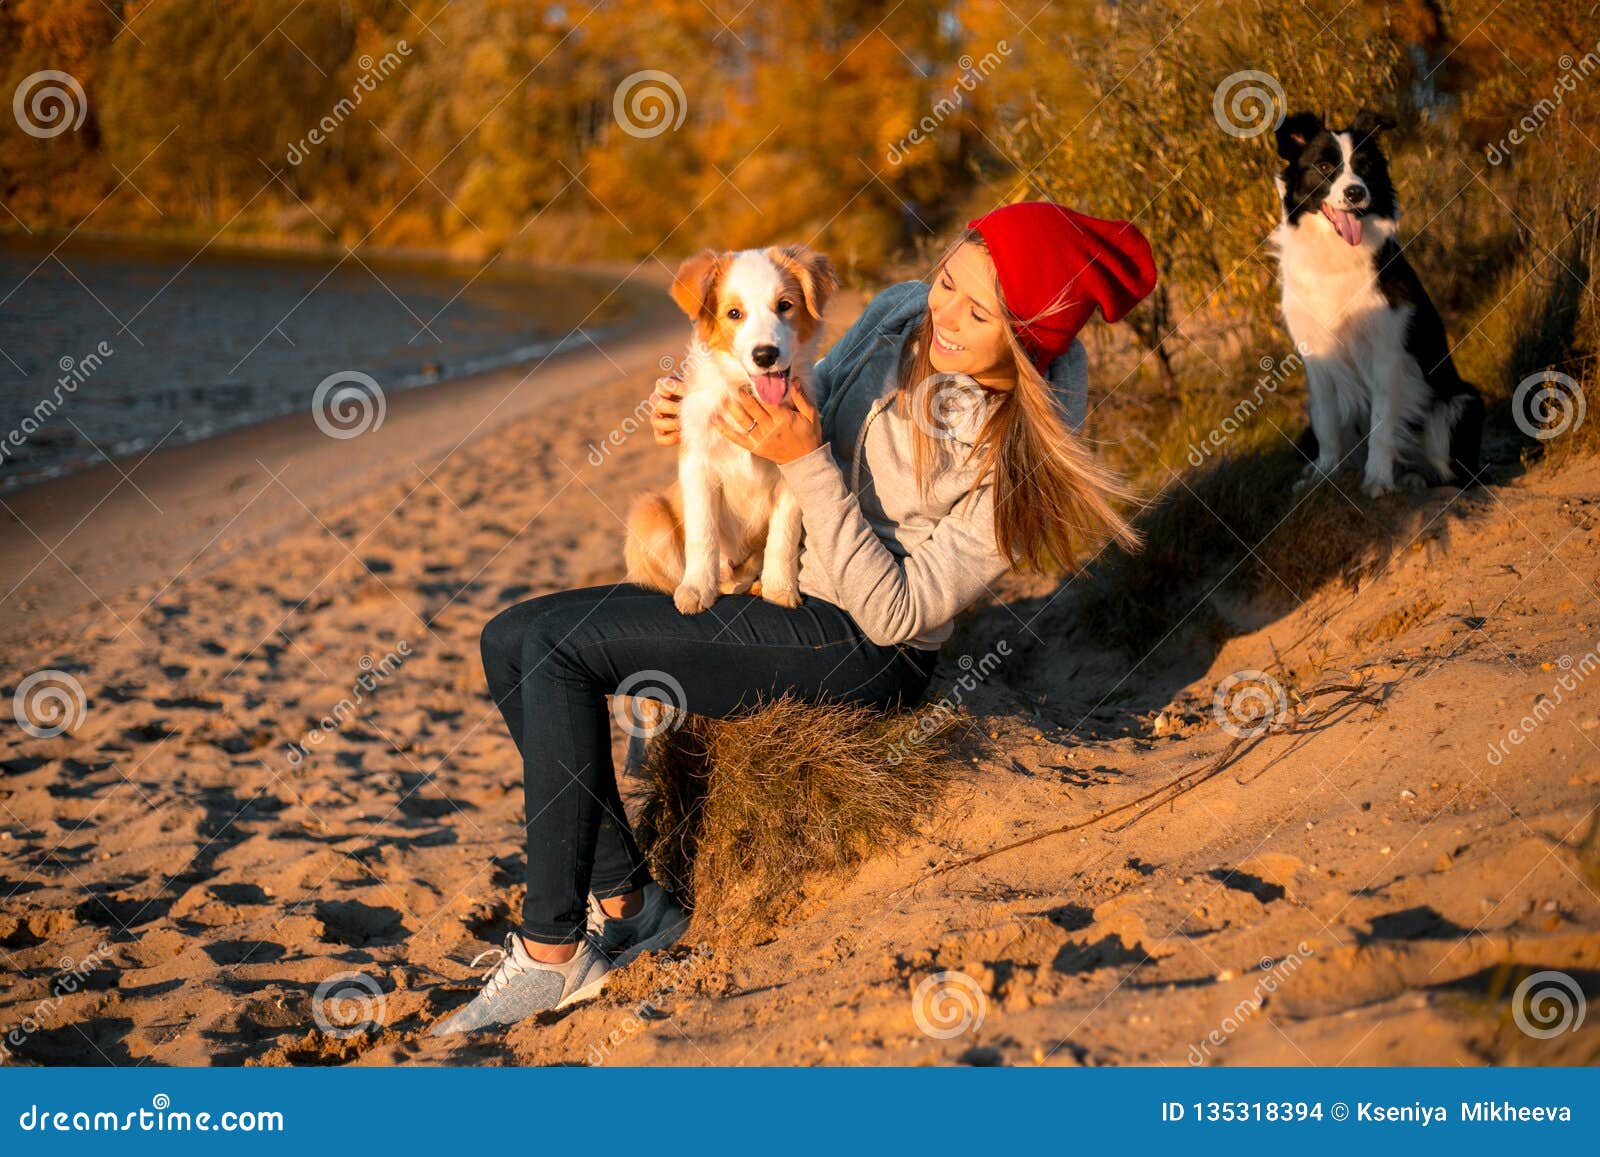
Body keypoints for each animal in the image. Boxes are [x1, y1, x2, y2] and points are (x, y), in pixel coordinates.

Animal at [620, 243, 838, 611]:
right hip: (648, 514)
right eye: (734, 313)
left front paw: (779, 589)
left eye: (784, 305)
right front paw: (696, 589)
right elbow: (702, 535)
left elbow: (783, 536)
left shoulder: (792, 468)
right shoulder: (698, 466)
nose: (765, 355)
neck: (747, 392)